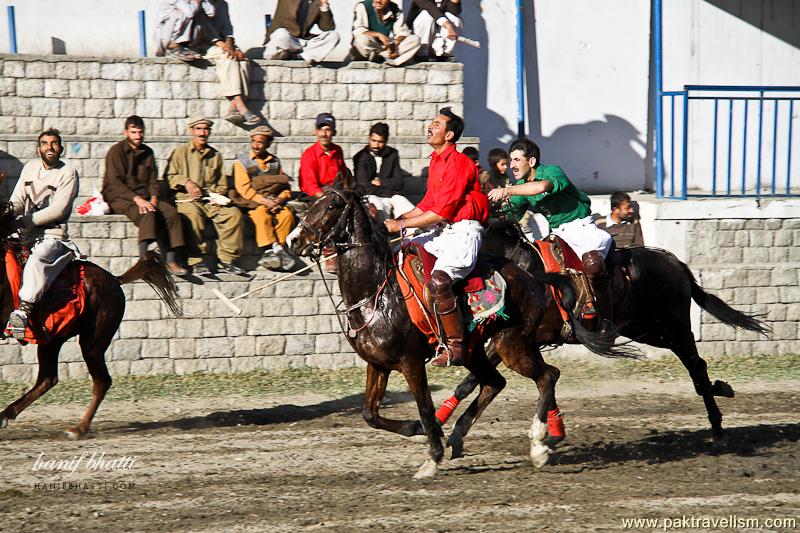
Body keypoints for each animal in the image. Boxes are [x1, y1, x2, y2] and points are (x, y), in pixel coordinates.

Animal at [0, 203, 181, 436]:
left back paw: (79, 428)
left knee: (101, 381)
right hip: (52, 339)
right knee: (48, 379)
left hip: (92, 343)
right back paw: (6, 414)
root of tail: (114, 280)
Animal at [288, 188, 636, 478]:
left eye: (330, 206)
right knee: (496, 383)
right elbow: (369, 414)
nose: (293, 240)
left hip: (511, 344)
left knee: (546, 376)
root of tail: (533, 279)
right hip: (477, 349)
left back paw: (539, 444)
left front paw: (432, 455)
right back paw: (465, 435)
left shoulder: (410, 362)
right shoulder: (377, 364)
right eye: (312, 202)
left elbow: (425, 407)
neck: (377, 292)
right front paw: (421, 430)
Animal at [444, 216, 768, 440]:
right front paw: (440, 417)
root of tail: (675, 262)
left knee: (696, 365)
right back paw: (720, 392)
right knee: (697, 367)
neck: (522, 269)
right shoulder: (514, 340)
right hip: (651, 331)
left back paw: (717, 422)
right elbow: (472, 381)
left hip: (670, 329)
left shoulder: (520, 339)